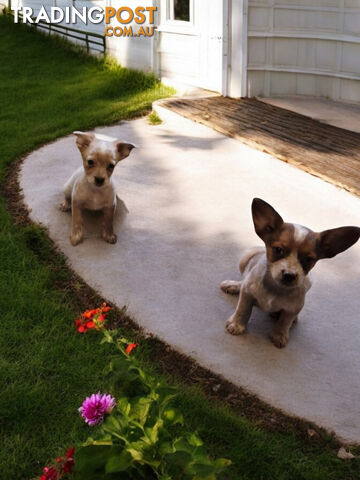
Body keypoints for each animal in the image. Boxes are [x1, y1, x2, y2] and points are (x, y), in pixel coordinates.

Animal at [221, 199, 358, 348]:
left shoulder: (294, 307)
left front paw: (280, 334)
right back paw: (233, 285)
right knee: (243, 281)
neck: (275, 288)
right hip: (245, 257)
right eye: (278, 249)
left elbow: (285, 321)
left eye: (308, 259)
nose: (289, 275)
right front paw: (237, 324)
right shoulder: (247, 293)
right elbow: (243, 309)